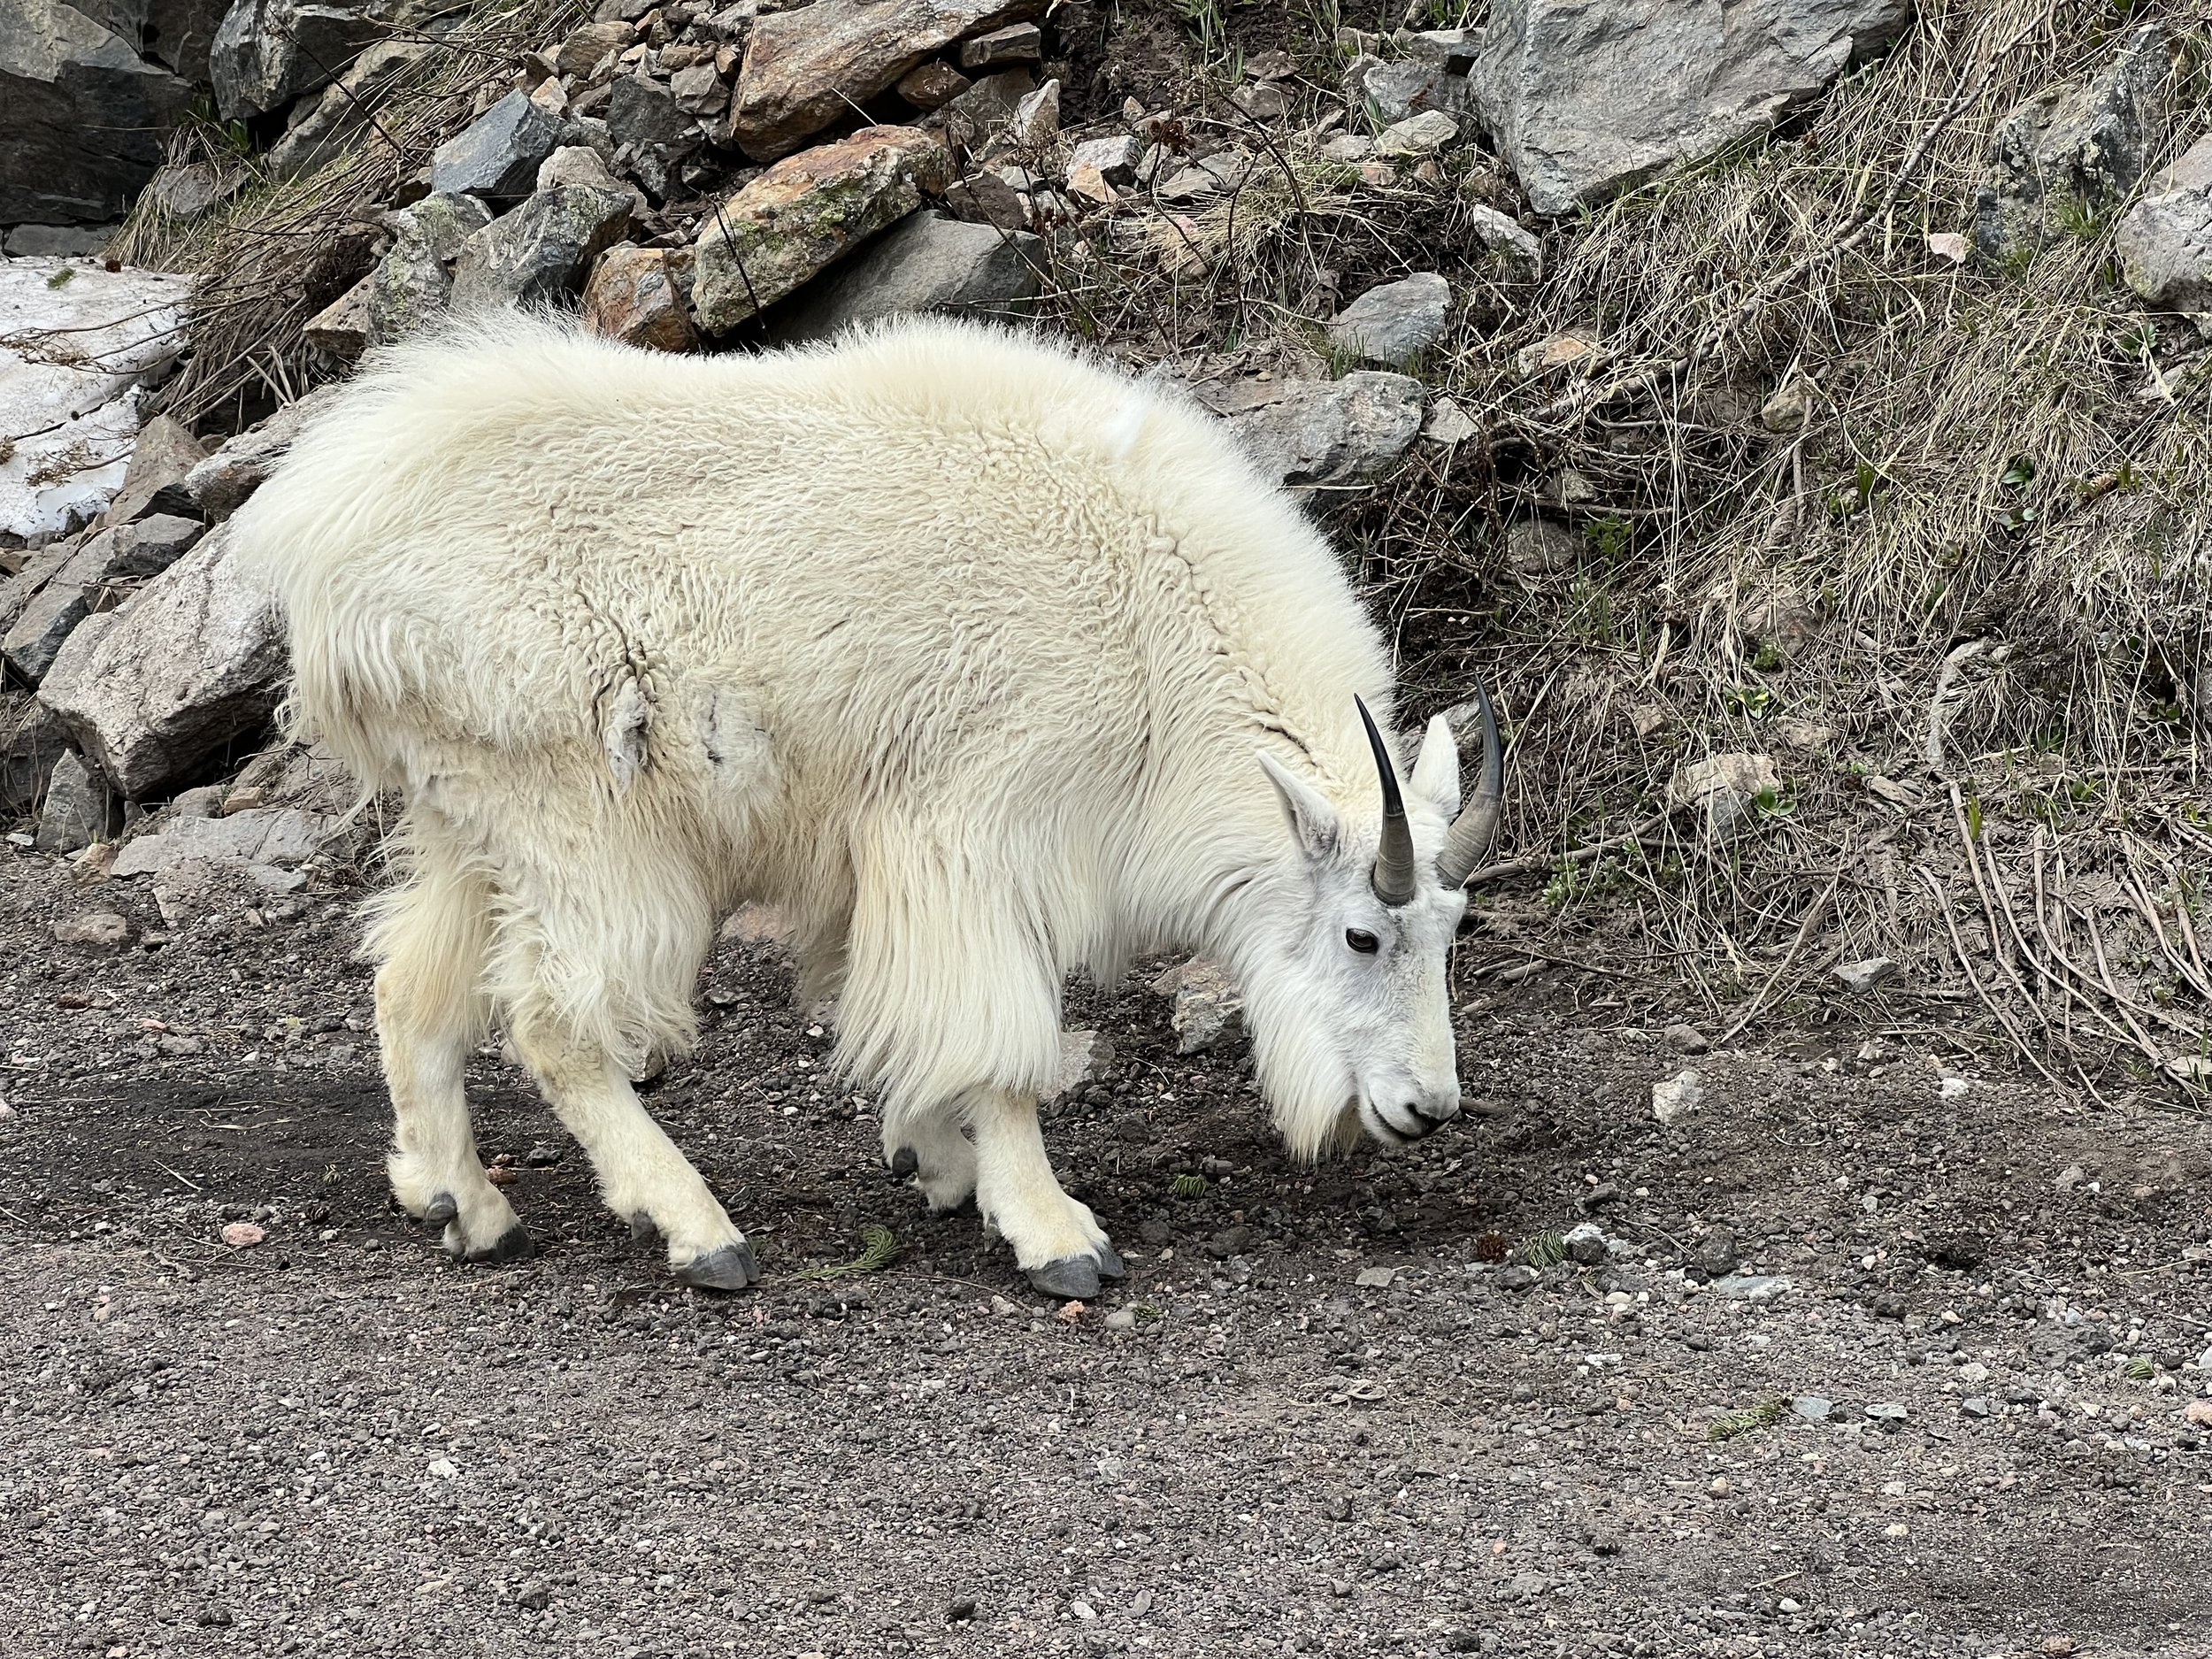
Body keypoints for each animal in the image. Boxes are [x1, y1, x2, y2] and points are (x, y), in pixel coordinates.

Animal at [232, 315, 1501, 1298]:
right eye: (1362, 933)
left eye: (1456, 933)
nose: (1427, 1107)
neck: (1153, 629)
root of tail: (321, 541)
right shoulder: (972, 833)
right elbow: (997, 1039)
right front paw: (1052, 1230)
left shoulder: (874, 861)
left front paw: (935, 1162)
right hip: (582, 820)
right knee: (556, 1021)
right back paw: (696, 1228)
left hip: (472, 816)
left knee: (413, 987)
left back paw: (459, 1201)